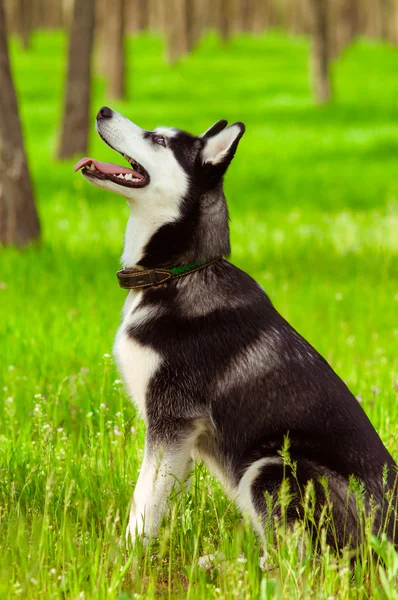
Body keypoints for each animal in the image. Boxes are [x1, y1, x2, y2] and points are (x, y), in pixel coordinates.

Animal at [74, 108, 394, 552]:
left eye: (159, 140)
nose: (103, 110)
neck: (178, 273)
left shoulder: (172, 418)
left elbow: (143, 502)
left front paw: (126, 558)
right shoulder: (180, 438)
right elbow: (159, 498)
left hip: (270, 466)